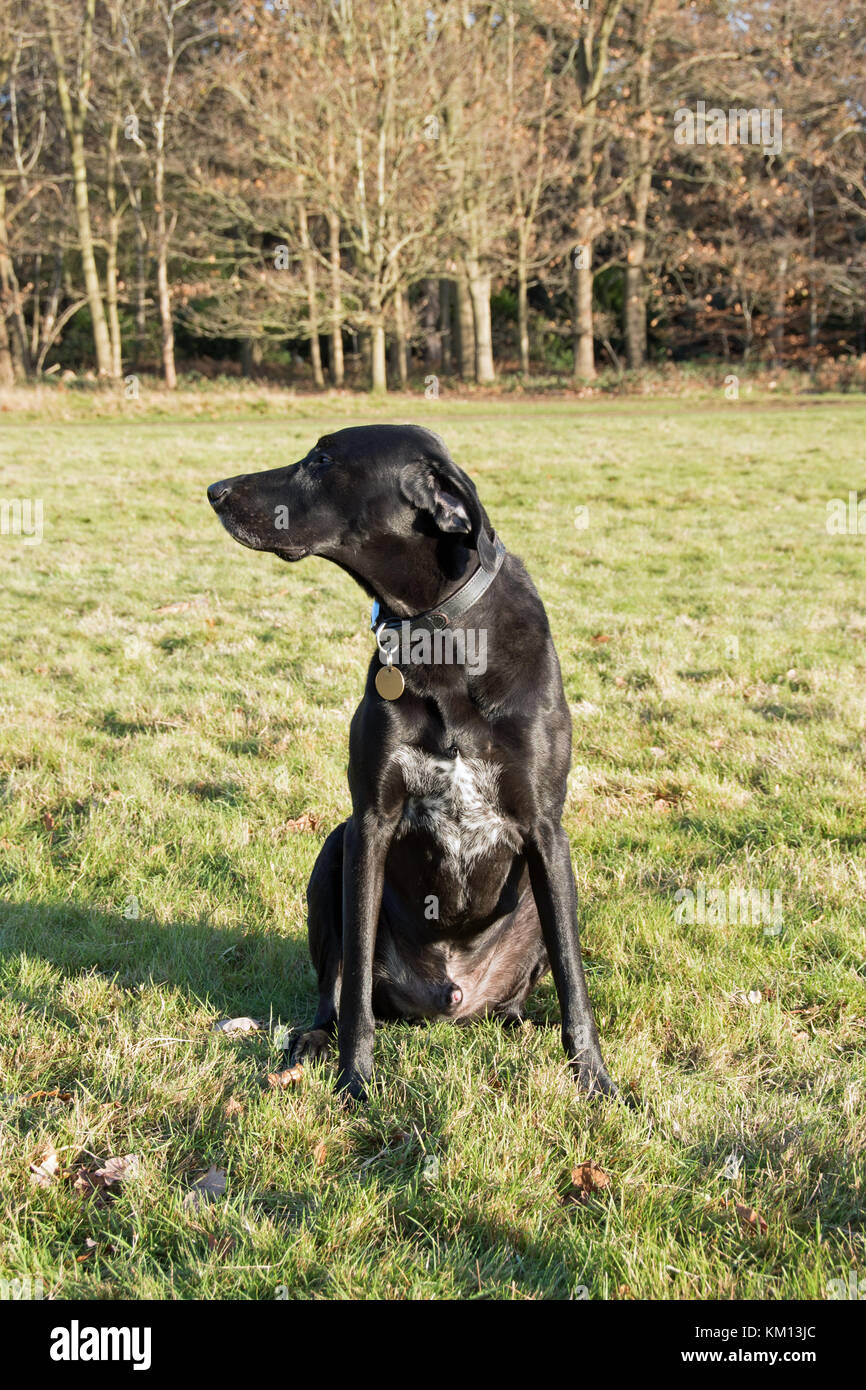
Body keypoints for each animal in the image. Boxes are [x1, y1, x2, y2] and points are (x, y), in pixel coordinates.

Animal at [209, 422, 617, 1095]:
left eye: (323, 460)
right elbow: (353, 989)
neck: (442, 634)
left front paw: (594, 1079)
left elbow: (572, 978)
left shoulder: (545, 829)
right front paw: (355, 1080)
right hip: (335, 848)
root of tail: (449, 1000)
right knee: (334, 991)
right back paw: (311, 1043)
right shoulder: (369, 823)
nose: (215, 490)